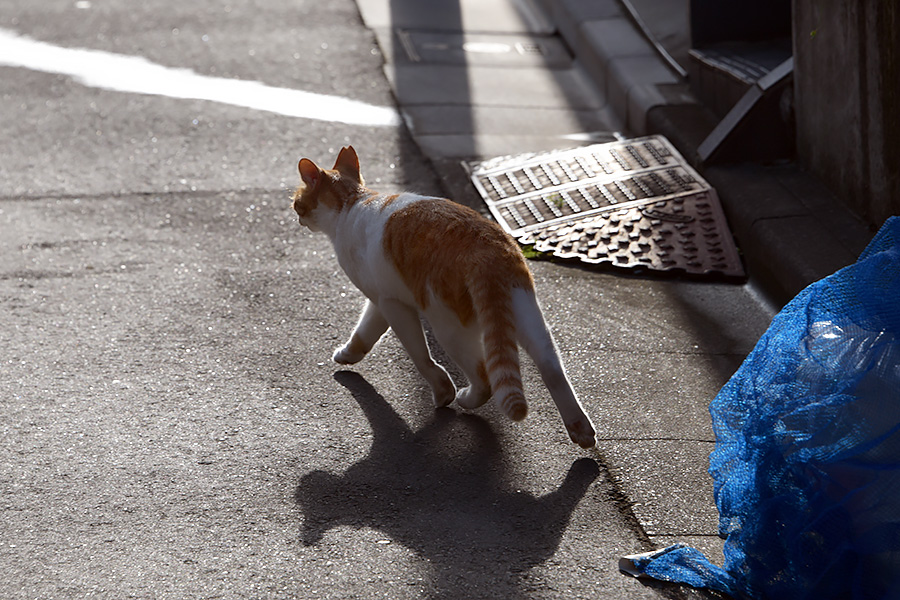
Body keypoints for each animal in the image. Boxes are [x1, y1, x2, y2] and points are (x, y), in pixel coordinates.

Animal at [292, 146, 596, 446]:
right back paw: (581, 430)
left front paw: (443, 392)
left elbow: (419, 355)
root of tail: (489, 251)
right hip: (528, 318)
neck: (352, 201)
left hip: (447, 328)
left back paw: (466, 398)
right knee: (553, 369)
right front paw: (348, 354)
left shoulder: (393, 305)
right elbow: (364, 333)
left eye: (296, 201)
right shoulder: (382, 301)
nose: (297, 216)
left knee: (485, 379)